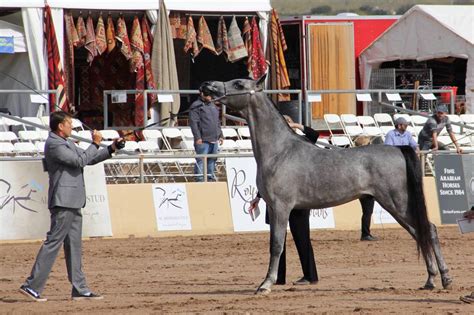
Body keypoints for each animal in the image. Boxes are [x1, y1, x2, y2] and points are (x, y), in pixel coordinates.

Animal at [200, 76, 452, 296]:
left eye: (239, 84)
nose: (207, 85)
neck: (280, 152)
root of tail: (399, 149)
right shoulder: (272, 207)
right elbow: (275, 244)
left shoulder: (281, 207)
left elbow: (276, 245)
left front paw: (265, 285)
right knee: (420, 233)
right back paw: (431, 279)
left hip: (397, 202)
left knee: (428, 230)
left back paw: (444, 278)